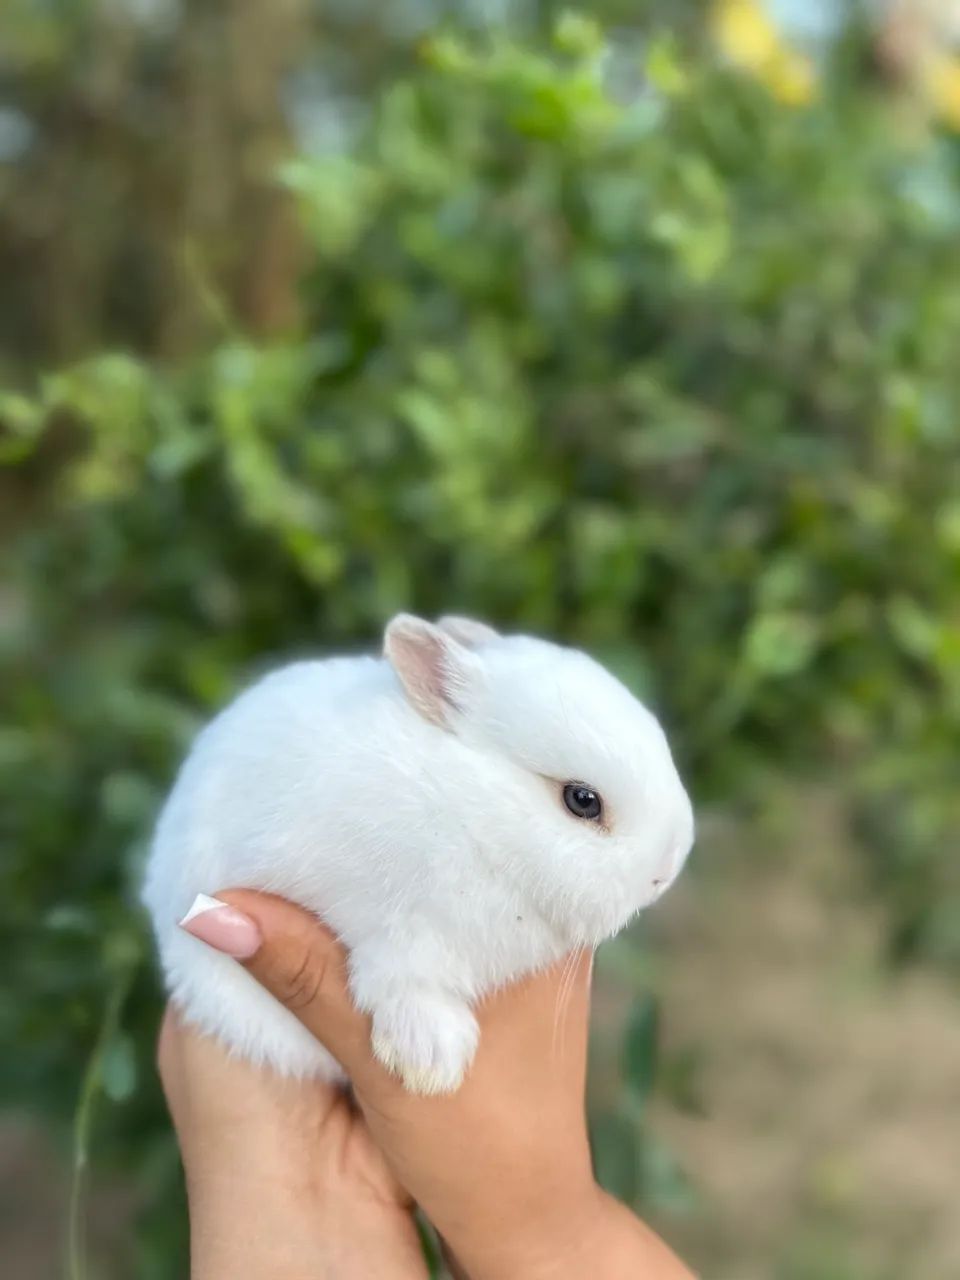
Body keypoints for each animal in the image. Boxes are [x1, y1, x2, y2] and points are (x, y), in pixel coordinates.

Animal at [142, 613, 694, 1094]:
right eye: (582, 800)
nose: (665, 873)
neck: (472, 818)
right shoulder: (396, 936)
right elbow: (399, 985)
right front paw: (433, 1060)